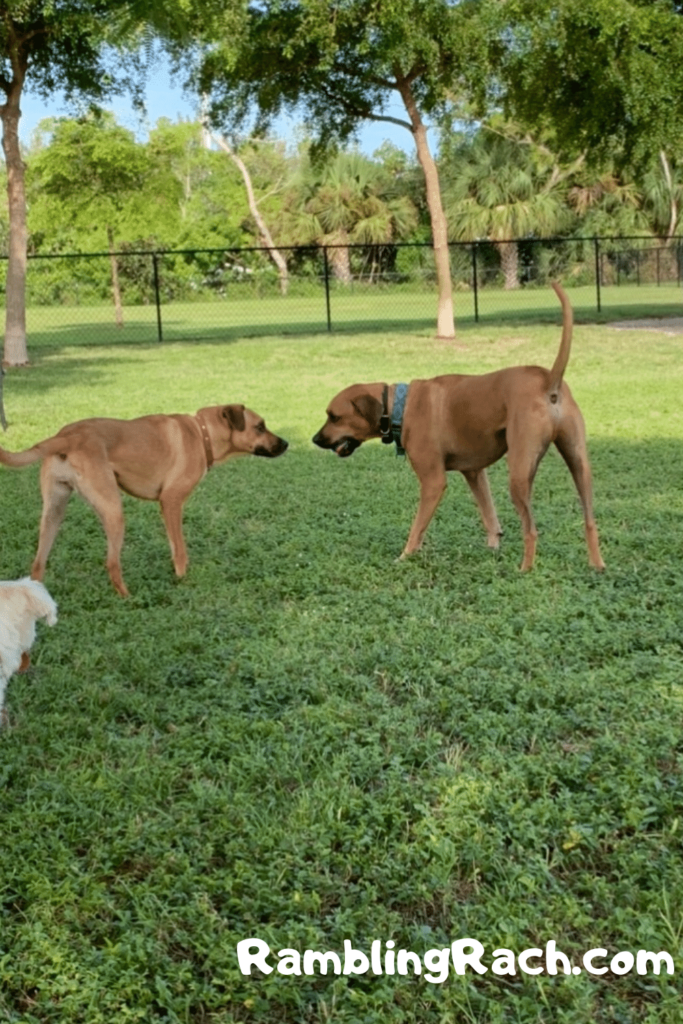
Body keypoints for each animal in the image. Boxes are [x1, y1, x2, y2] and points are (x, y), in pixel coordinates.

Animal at [0, 403, 288, 598]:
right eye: (260, 426)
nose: (286, 444)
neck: (202, 435)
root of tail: (66, 437)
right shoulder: (171, 501)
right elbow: (180, 550)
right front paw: (182, 580)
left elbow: (174, 546)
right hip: (113, 511)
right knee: (112, 563)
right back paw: (127, 597)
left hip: (54, 511)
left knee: (38, 563)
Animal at [313, 282, 602, 569]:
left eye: (334, 416)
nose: (315, 440)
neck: (400, 406)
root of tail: (548, 381)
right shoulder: (474, 473)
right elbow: (490, 517)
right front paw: (492, 548)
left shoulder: (433, 482)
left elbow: (417, 528)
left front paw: (404, 556)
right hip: (579, 466)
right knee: (589, 520)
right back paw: (597, 566)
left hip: (520, 473)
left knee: (531, 529)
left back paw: (525, 570)